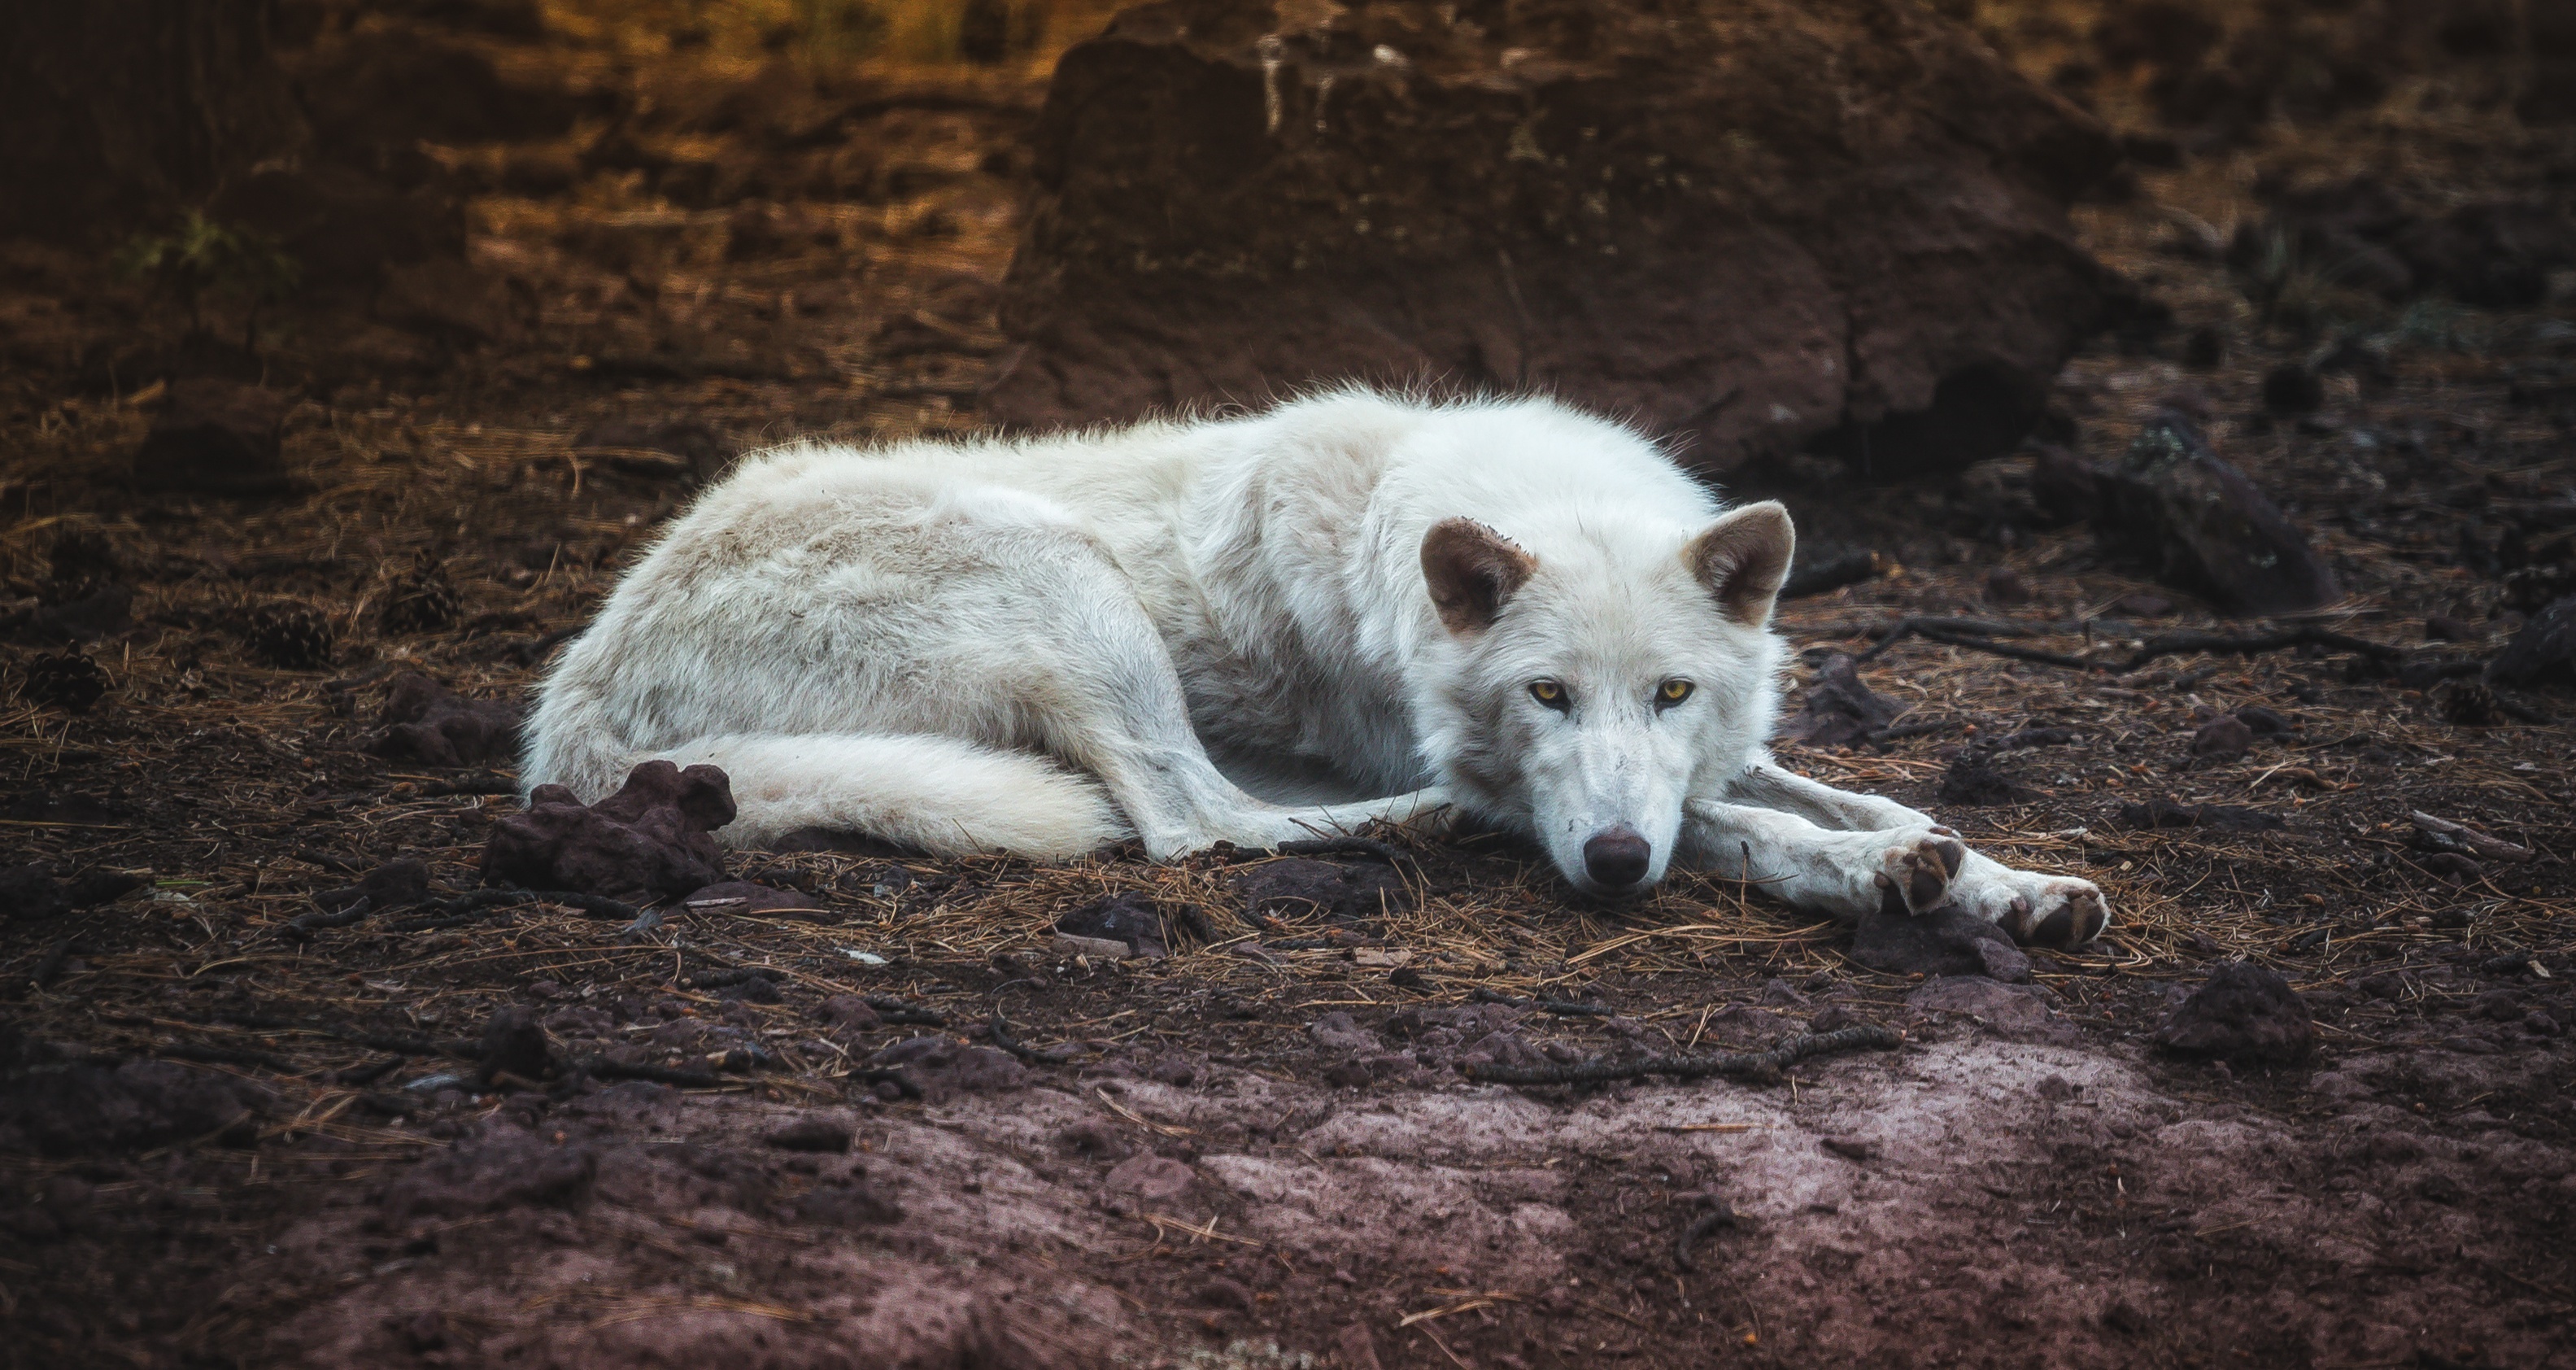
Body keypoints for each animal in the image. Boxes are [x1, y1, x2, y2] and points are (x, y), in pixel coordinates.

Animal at [522, 389, 2108, 945]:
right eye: (1544, 695)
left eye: (1671, 692)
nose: (1605, 866)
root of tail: (578, 692)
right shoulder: (1535, 782)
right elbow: (1748, 831)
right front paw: (1873, 877)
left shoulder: (1702, 759)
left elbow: (1863, 799)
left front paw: (2005, 882)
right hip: (1068, 586)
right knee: (1188, 825)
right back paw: (1411, 826)